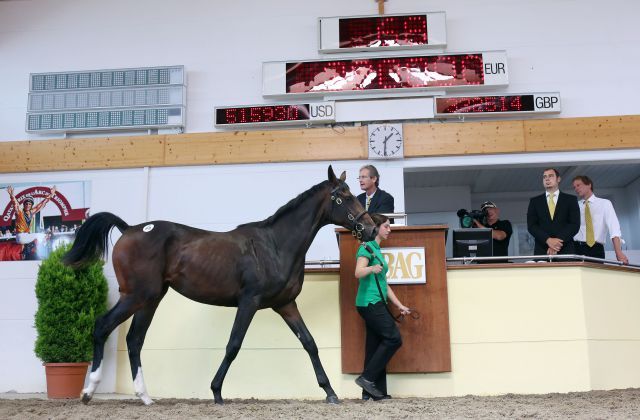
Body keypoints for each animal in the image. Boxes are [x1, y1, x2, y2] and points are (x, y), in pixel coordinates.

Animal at [63, 166, 376, 406]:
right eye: (343, 197)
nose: (371, 229)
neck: (275, 245)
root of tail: (128, 228)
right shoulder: (249, 302)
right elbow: (233, 345)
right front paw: (216, 392)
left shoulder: (285, 304)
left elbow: (309, 343)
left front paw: (330, 393)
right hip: (136, 295)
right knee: (103, 327)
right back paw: (88, 392)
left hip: (151, 299)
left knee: (134, 340)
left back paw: (145, 397)